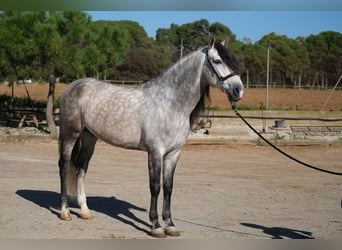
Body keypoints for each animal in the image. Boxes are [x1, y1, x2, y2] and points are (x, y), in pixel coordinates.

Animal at [58, 36, 243, 237]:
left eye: (233, 61)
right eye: (217, 61)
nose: (238, 90)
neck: (170, 104)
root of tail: (74, 85)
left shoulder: (173, 153)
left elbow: (168, 187)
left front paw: (170, 224)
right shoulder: (155, 152)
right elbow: (155, 186)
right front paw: (156, 225)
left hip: (89, 138)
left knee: (81, 169)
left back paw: (85, 211)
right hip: (70, 134)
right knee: (64, 167)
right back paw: (65, 212)